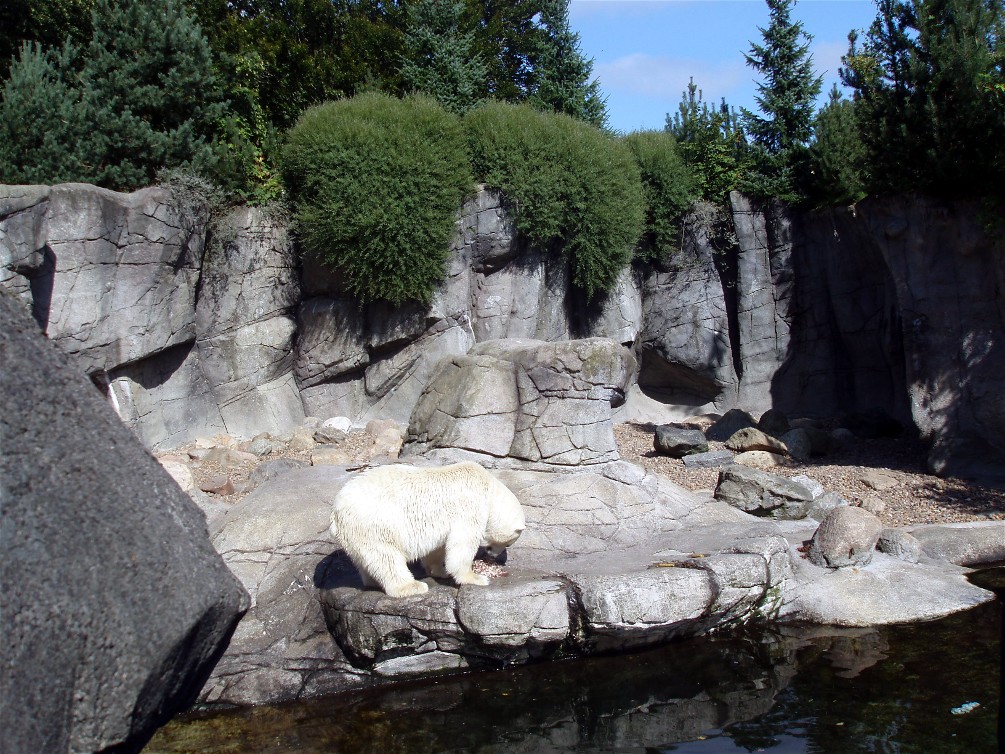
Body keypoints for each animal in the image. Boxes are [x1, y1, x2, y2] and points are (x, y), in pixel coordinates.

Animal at [329, 461, 526, 598]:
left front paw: (441, 570)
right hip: (374, 524)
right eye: (508, 543)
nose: (493, 556)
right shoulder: (469, 506)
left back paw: (373, 582)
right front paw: (475, 577)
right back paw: (411, 586)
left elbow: (437, 548)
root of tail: (336, 513)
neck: (489, 489)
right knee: (386, 557)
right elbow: (462, 544)